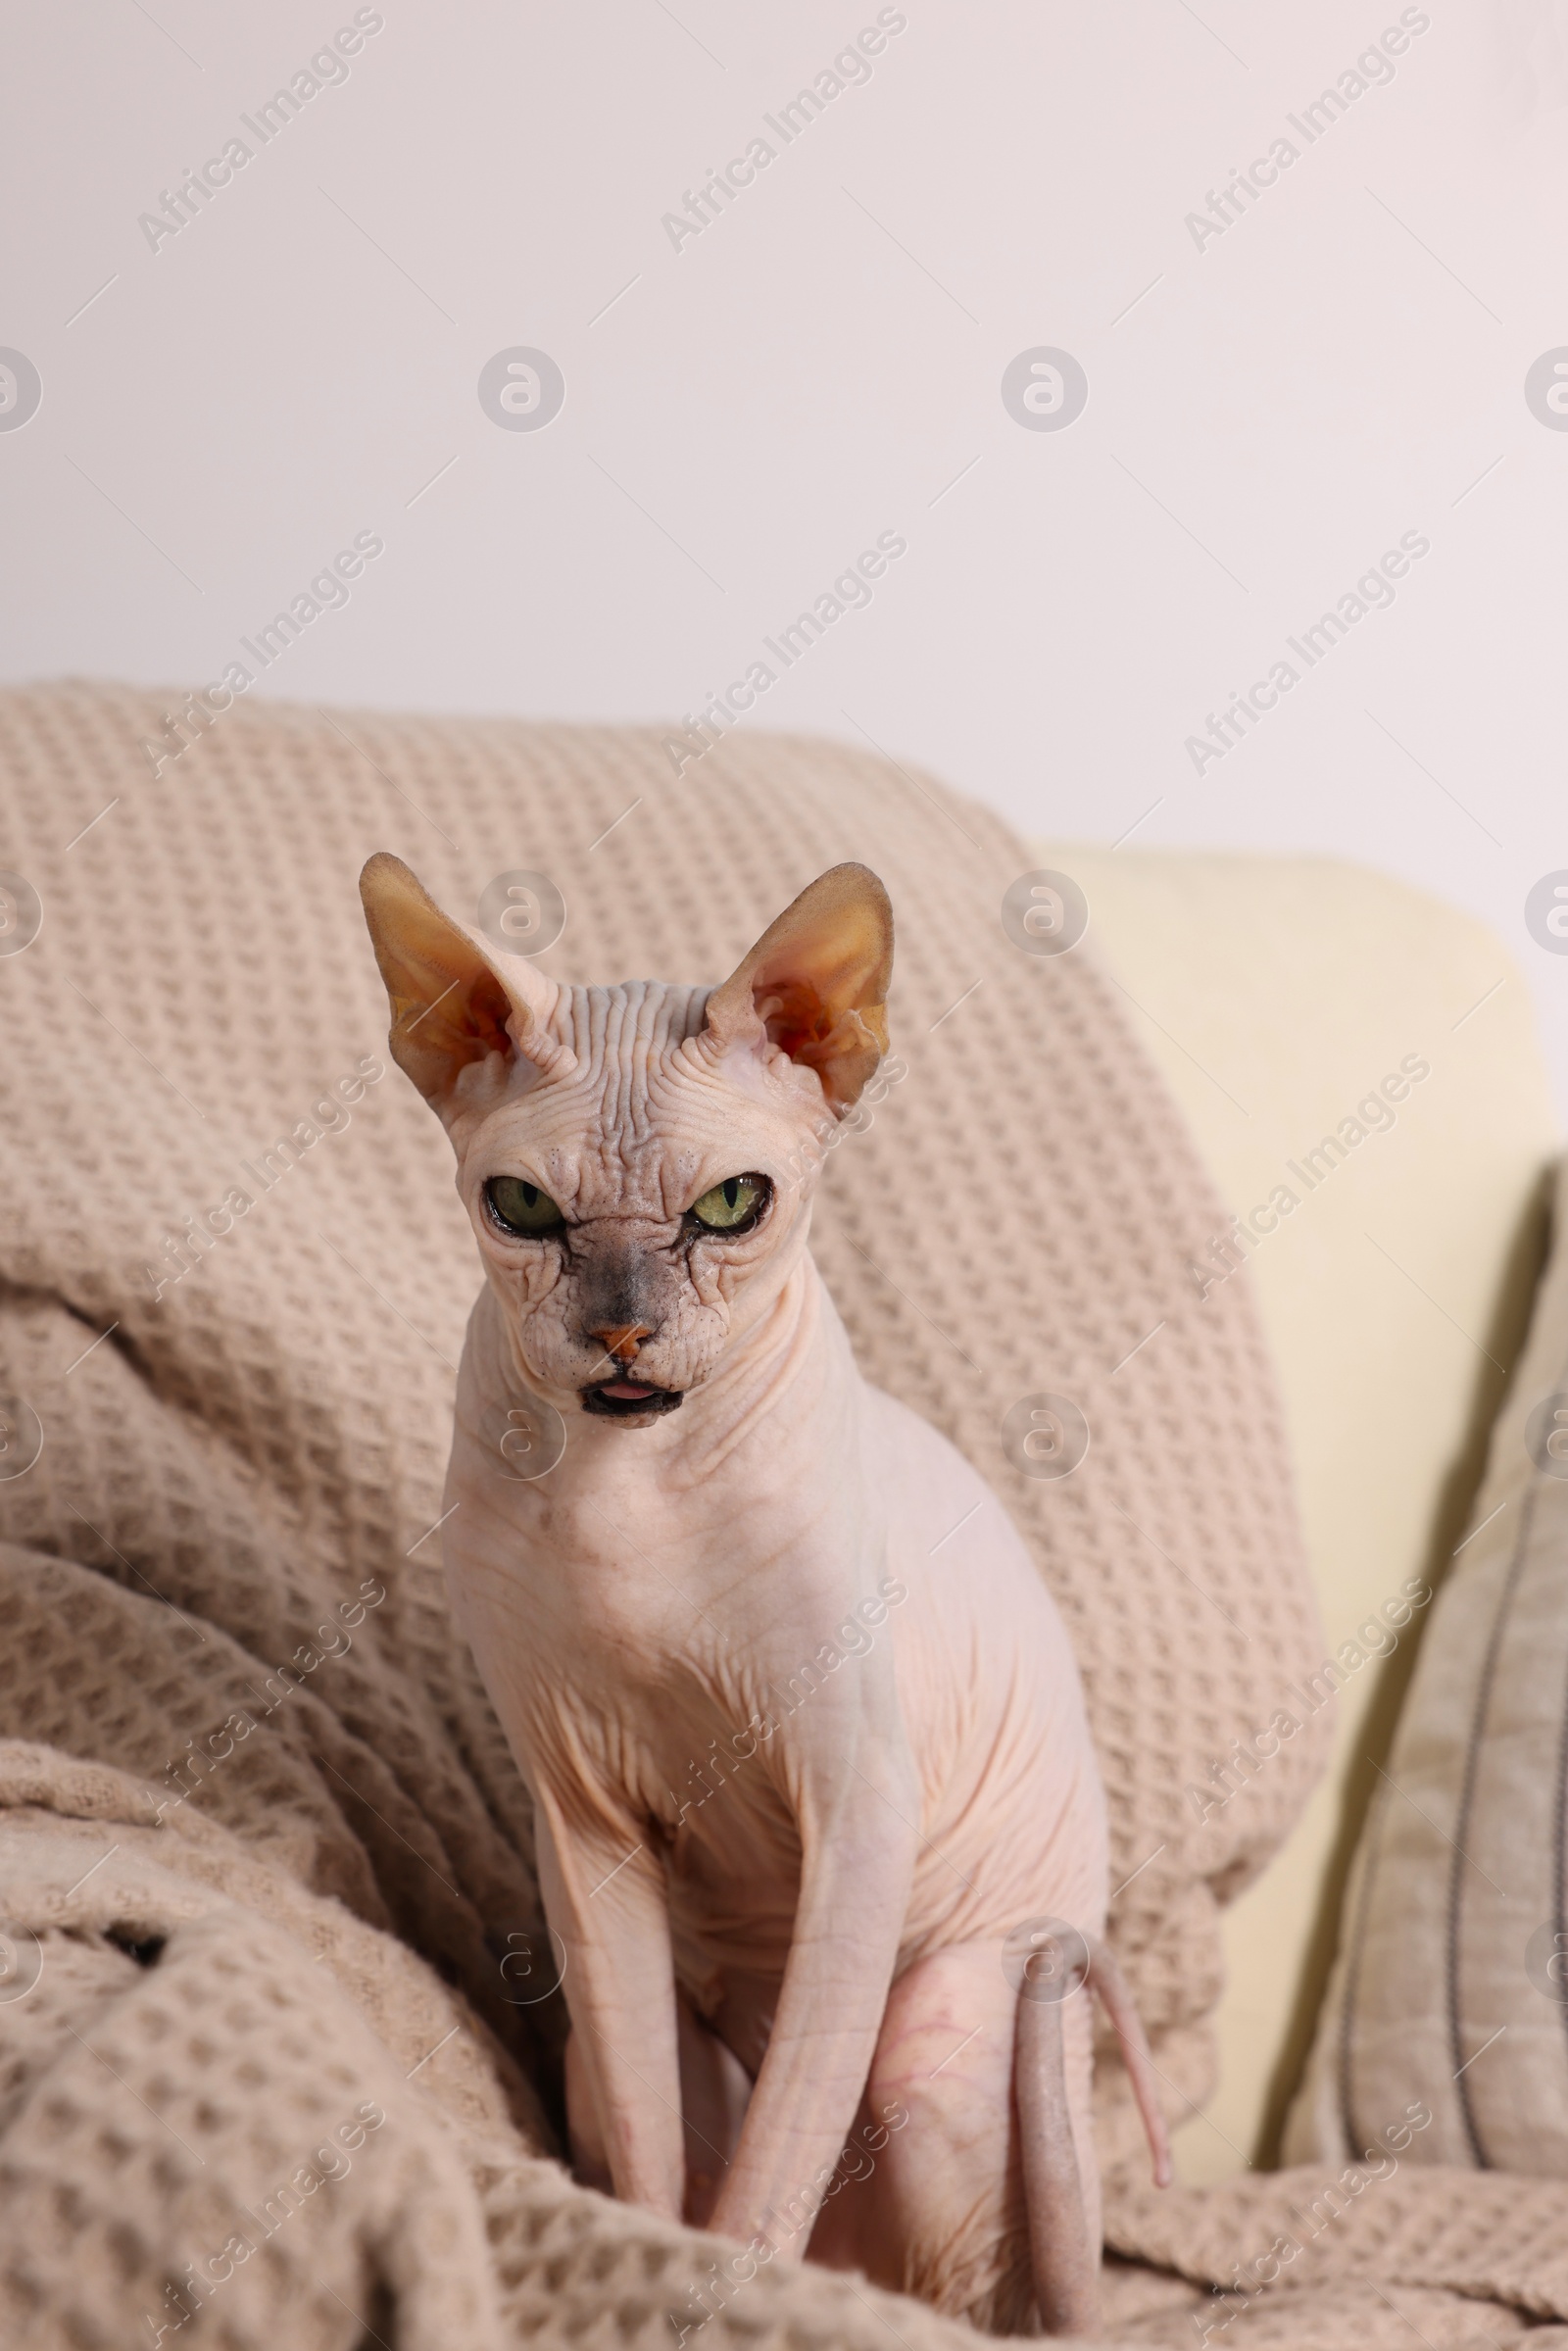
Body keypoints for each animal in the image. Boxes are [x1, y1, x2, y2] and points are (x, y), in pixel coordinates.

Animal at [355, 851, 1165, 2331]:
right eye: (523, 1207)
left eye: (732, 1204)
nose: (622, 1328)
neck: (629, 1489)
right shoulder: (582, 1811)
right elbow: (651, 2155)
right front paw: (641, 2257)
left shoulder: (860, 1802)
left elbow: (772, 2172)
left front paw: (727, 2293)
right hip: (639, 2005)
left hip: (938, 2020)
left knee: (948, 2291)